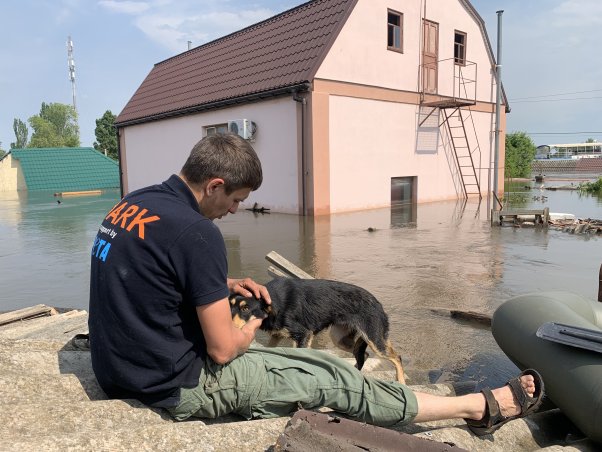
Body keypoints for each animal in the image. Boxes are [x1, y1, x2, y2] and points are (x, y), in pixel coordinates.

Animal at [229, 278, 404, 384]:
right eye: (229, 306)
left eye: (245, 308)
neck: (273, 300)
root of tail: (378, 303)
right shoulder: (277, 335)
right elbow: (269, 350)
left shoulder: (304, 335)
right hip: (340, 339)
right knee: (363, 354)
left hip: (374, 339)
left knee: (396, 357)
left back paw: (401, 382)